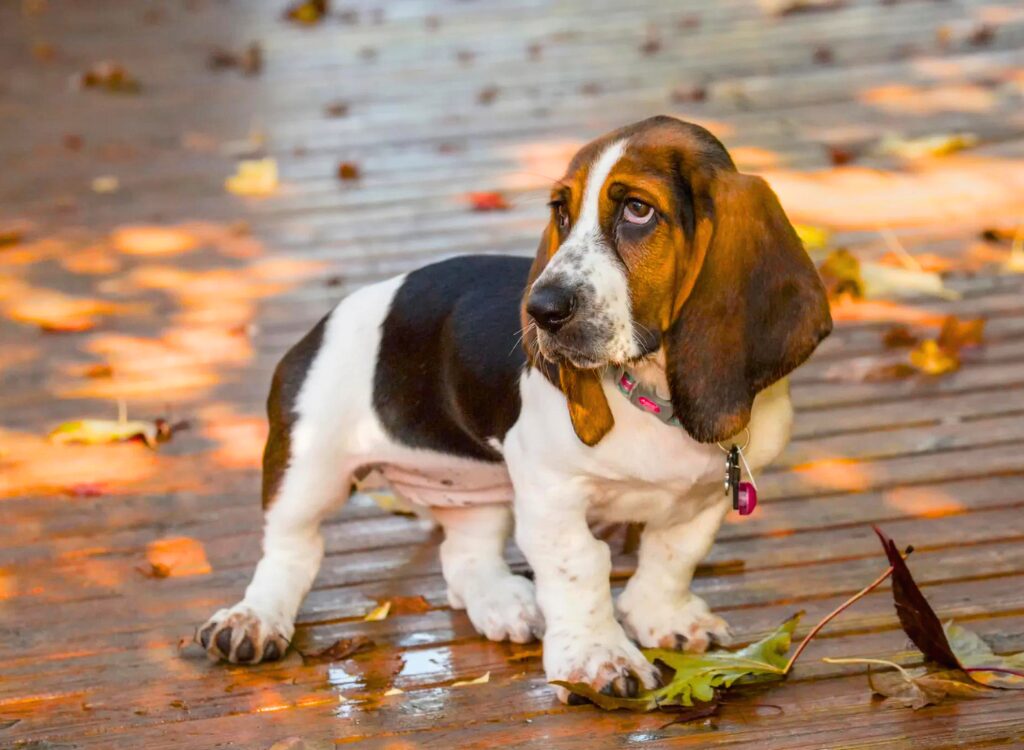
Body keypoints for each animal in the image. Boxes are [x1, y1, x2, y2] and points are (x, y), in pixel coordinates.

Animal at [195, 115, 827, 704]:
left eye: (638, 211)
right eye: (561, 213)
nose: (541, 310)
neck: (651, 393)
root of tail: (321, 324)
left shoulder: (702, 498)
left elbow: (673, 556)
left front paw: (663, 618)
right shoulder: (550, 491)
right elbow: (581, 567)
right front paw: (598, 660)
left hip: (480, 489)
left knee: (463, 554)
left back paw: (506, 604)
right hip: (310, 469)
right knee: (292, 549)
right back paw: (252, 621)